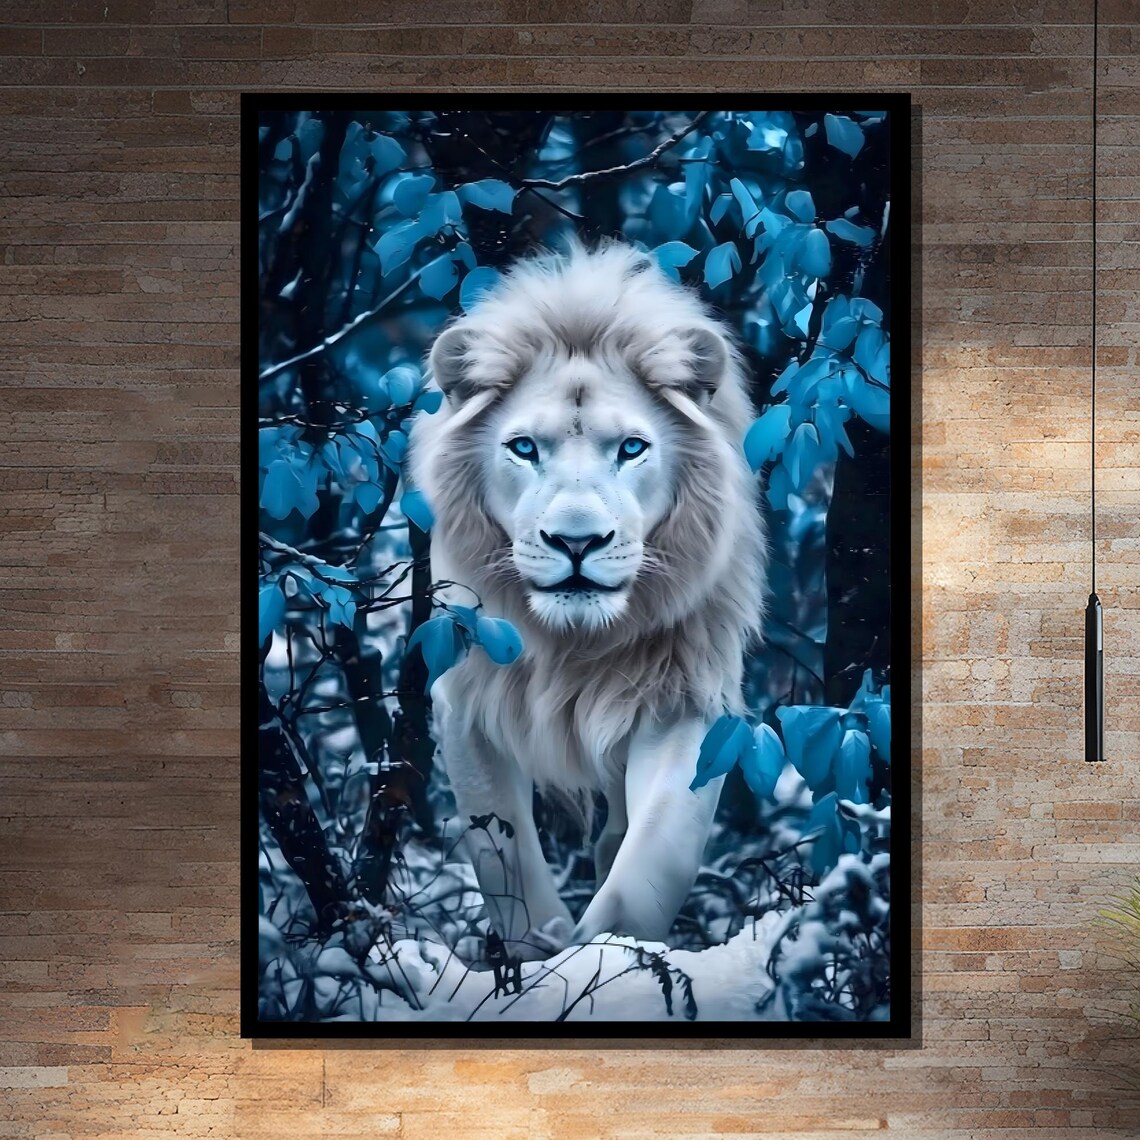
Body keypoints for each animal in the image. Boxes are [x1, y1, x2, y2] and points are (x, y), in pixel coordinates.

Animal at [406, 237, 767, 961]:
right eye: (523, 448)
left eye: (631, 448)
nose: (577, 541)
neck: (574, 644)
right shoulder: (467, 705)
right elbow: (506, 863)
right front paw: (543, 956)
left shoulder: (687, 704)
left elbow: (652, 860)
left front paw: (605, 959)